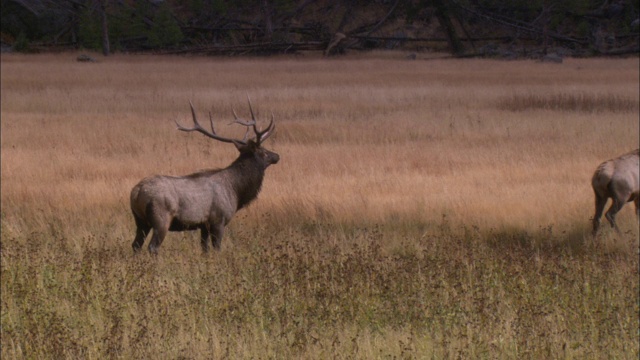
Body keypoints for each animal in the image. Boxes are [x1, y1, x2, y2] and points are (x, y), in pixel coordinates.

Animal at [130, 100, 278, 255]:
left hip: (140, 221)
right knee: (152, 247)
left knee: (136, 245)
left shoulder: (204, 225)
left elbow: (204, 249)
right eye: (263, 151)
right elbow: (217, 249)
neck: (236, 191)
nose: (277, 156)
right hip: (161, 218)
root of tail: (136, 192)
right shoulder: (218, 220)